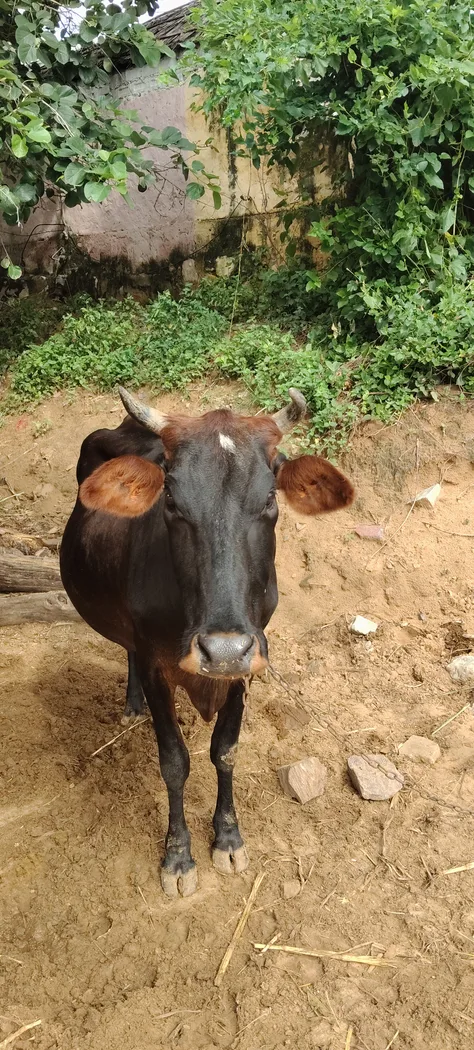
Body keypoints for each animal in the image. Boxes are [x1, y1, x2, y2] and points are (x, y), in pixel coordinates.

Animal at [60, 387, 354, 897]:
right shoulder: (159, 666)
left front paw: (229, 837)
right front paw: (178, 856)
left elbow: (226, 750)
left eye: (270, 498)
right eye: (171, 501)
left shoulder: (250, 659)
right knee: (127, 649)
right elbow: (174, 761)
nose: (221, 650)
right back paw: (132, 703)